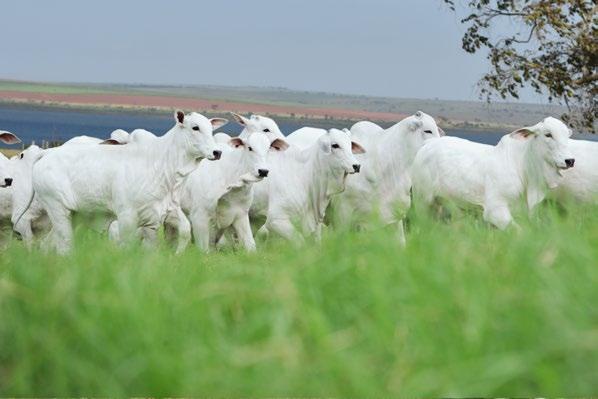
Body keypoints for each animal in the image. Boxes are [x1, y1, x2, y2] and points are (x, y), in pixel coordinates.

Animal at [21, 111, 225, 253]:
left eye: (211, 129)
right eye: (195, 127)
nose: (217, 152)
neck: (161, 163)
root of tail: (47, 152)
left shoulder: (161, 213)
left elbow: (180, 233)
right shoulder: (127, 216)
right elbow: (126, 246)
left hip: (74, 215)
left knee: (49, 244)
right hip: (58, 210)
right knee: (65, 245)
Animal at [412, 116, 576, 228]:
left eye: (567, 136)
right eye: (548, 134)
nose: (570, 160)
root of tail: (428, 144)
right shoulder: (495, 210)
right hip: (422, 201)